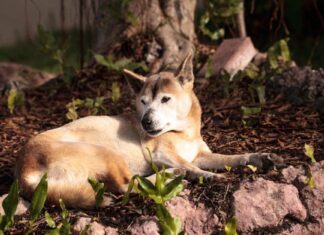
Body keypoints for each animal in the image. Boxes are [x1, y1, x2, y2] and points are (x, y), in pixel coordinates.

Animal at [16, 53, 272, 207]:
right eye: (143, 102)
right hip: (106, 153)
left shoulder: (202, 155)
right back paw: (174, 175)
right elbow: (190, 165)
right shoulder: (161, 154)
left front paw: (258, 157)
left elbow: (231, 158)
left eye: (165, 99)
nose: (145, 122)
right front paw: (208, 176)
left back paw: (172, 175)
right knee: (126, 184)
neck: (183, 133)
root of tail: (24, 171)